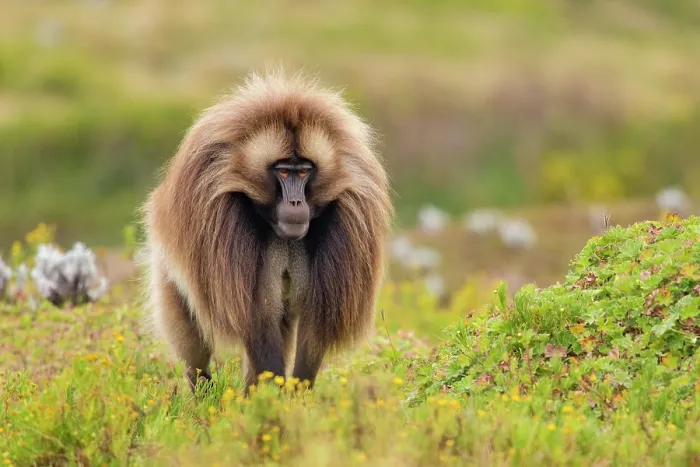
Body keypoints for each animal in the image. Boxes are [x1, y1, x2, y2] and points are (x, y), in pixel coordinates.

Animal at [140, 69, 393, 393]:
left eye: (304, 171)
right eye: (283, 171)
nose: (296, 202)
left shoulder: (351, 215)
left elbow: (316, 321)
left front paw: (296, 396)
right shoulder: (218, 219)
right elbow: (255, 316)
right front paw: (270, 400)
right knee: (192, 335)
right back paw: (203, 392)